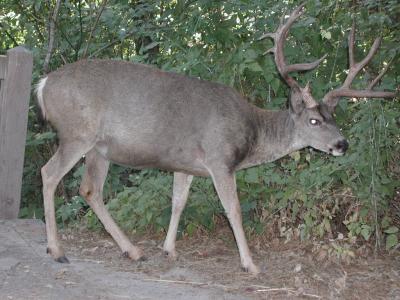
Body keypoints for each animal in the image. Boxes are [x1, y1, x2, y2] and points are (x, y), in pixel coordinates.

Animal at [36, 3, 396, 276]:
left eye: (333, 117)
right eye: (314, 120)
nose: (342, 144)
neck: (251, 133)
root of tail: (43, 84)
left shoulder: (185, 165)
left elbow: (178, 202)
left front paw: (168, 249)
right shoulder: (219, 158)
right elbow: (233, 209)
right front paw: (250, 263)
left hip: (101, 148)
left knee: (89, 189)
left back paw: (133, 251)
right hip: (77, 133)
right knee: (49, 173)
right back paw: (57, 249)